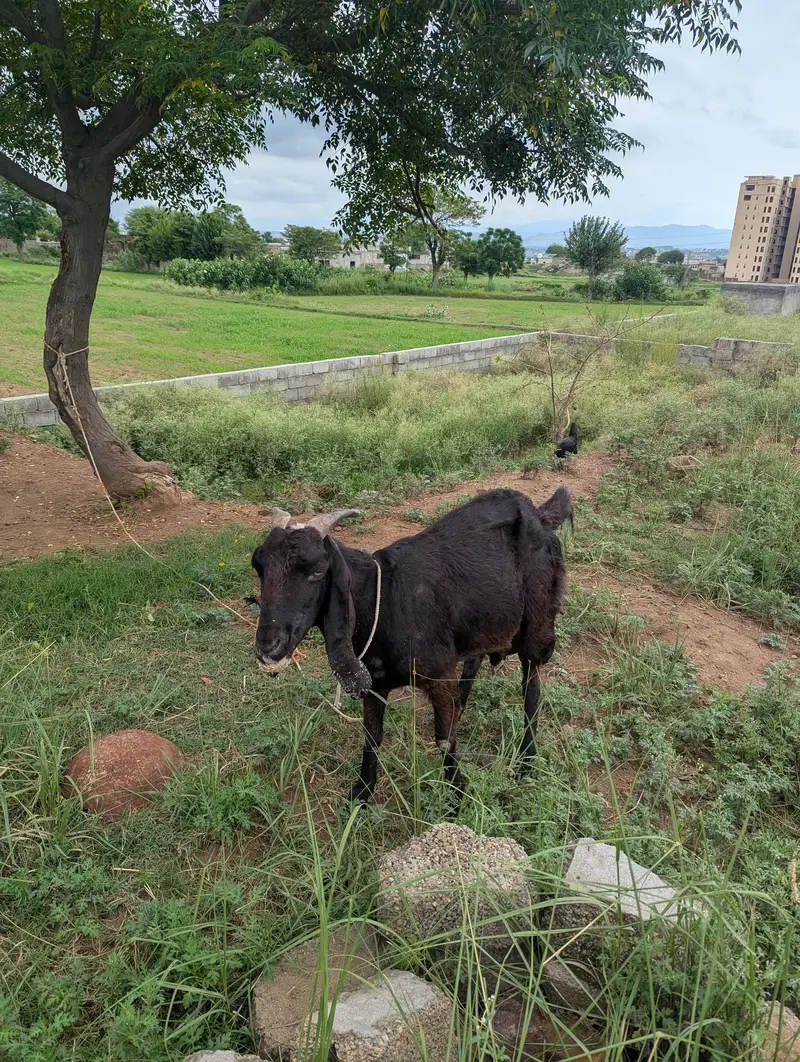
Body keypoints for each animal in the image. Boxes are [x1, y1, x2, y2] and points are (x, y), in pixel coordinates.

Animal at [251, 488, 572, 805]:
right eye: (259, 566)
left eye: (317, 570)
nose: (268, 644)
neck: (382, 598)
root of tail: (539, 514)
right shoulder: (375, 683)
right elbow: (372, 736)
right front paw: (362, 791)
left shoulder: (439, 674)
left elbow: (444, 740)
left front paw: (457, 796)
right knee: (474, 660)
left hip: (537, 624)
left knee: (531, 688)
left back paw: (526, 762)